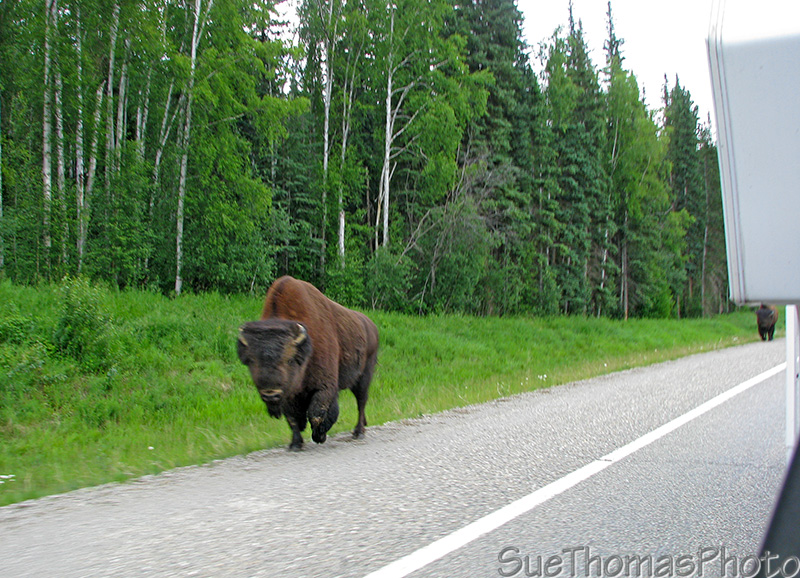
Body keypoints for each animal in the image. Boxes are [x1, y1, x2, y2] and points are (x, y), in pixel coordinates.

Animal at [237, 276, 379, 450]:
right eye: (251, 360)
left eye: (289, 360)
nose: (271, 394)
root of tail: (371, 326)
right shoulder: (290, 393)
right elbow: (292, 418)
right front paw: (295, 444)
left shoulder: (324, 387)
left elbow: (316, 413)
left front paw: (319, 436)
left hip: (364, 377)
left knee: (361, 402)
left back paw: (358, 432)